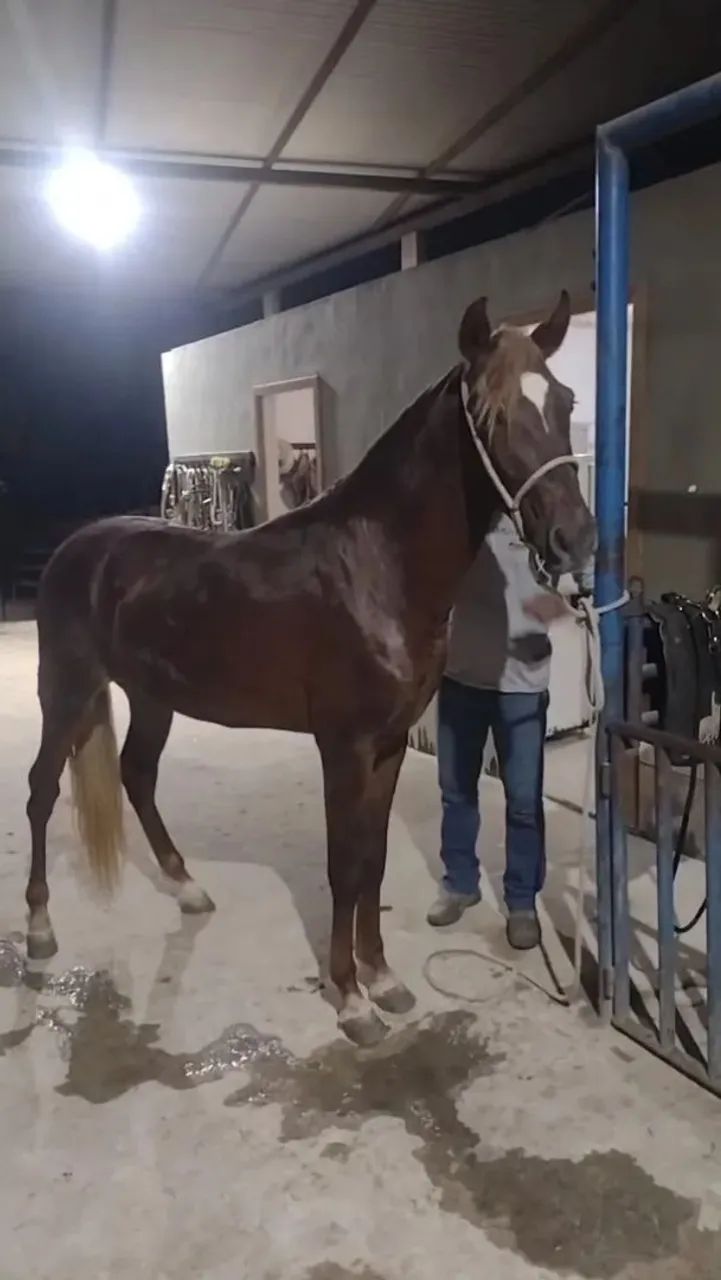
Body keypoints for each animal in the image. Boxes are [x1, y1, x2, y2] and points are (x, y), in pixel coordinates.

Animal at [25, 291, 595, 1045]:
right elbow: (343, 864)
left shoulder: (387, 746)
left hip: (151, 696)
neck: (377, 565)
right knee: (40, 790)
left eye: (563, 401)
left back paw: (188, 889)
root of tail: (74, 549)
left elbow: (372, 861)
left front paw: (383, 980)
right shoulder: (342, 746)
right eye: (491, 413)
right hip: (66, 690)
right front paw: (350, 1000)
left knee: (136, 775)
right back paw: (38, 930)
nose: (574, 539)